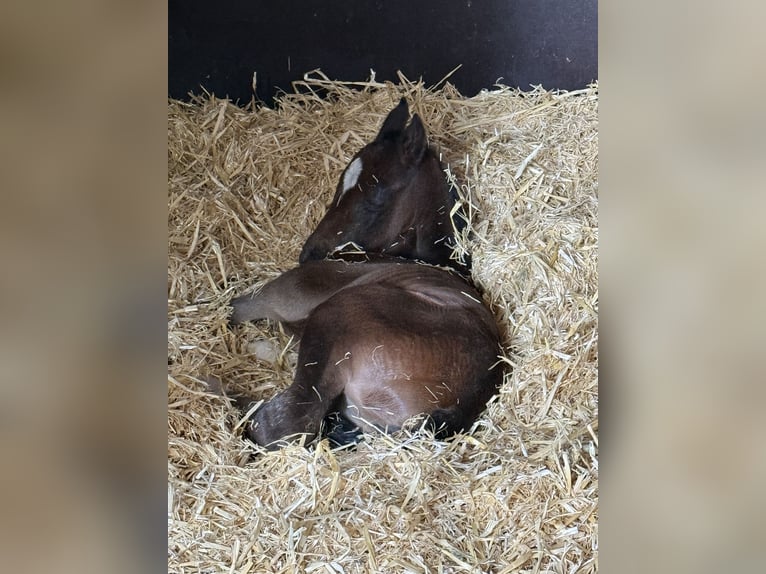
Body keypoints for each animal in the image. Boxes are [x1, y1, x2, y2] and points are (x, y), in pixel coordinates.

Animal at [230, 98, 504, 450]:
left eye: (376, 198)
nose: (310, 254)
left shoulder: (291, 293)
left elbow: (235, 307)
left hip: (338, 314)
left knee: (287, 421)